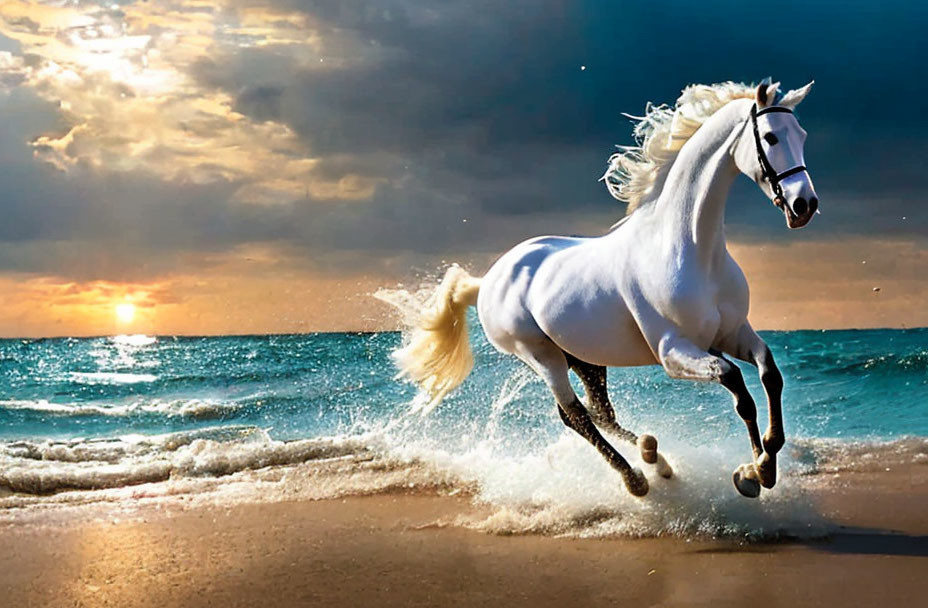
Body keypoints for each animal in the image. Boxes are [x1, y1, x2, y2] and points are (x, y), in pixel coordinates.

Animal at [380, 81, 816, 498]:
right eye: (771, 137)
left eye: (802, 134)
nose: (804, 205)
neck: (690, 249)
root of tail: (487, 281)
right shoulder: (674, 352)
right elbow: (738, 386)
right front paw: (752, 473)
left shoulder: (731, 333)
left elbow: (769, 375)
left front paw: (764, 466)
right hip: (540, 355)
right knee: (575, 414)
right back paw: (635, 479)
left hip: (584, 357)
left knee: (599, 411)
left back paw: (654, 456)